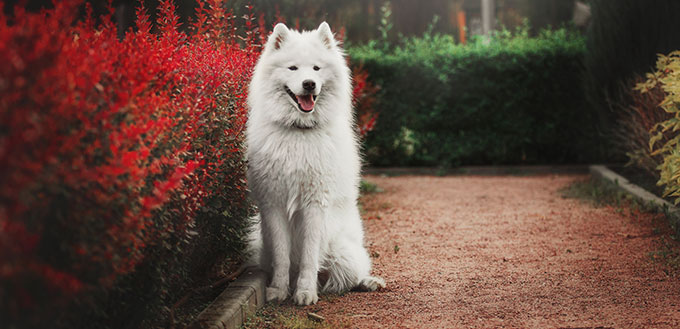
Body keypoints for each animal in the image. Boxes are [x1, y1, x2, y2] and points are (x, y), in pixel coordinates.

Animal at [246, 22, 386, 304]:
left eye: (316, 68)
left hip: (344, 254)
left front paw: (305, 292)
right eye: (293, 68)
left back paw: (368, 282)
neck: (299, 132)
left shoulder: (314, 204)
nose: (309, 84)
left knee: (349, 276)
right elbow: (282, 256)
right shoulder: (274, 204)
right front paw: (279, 290)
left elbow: (310, 256)